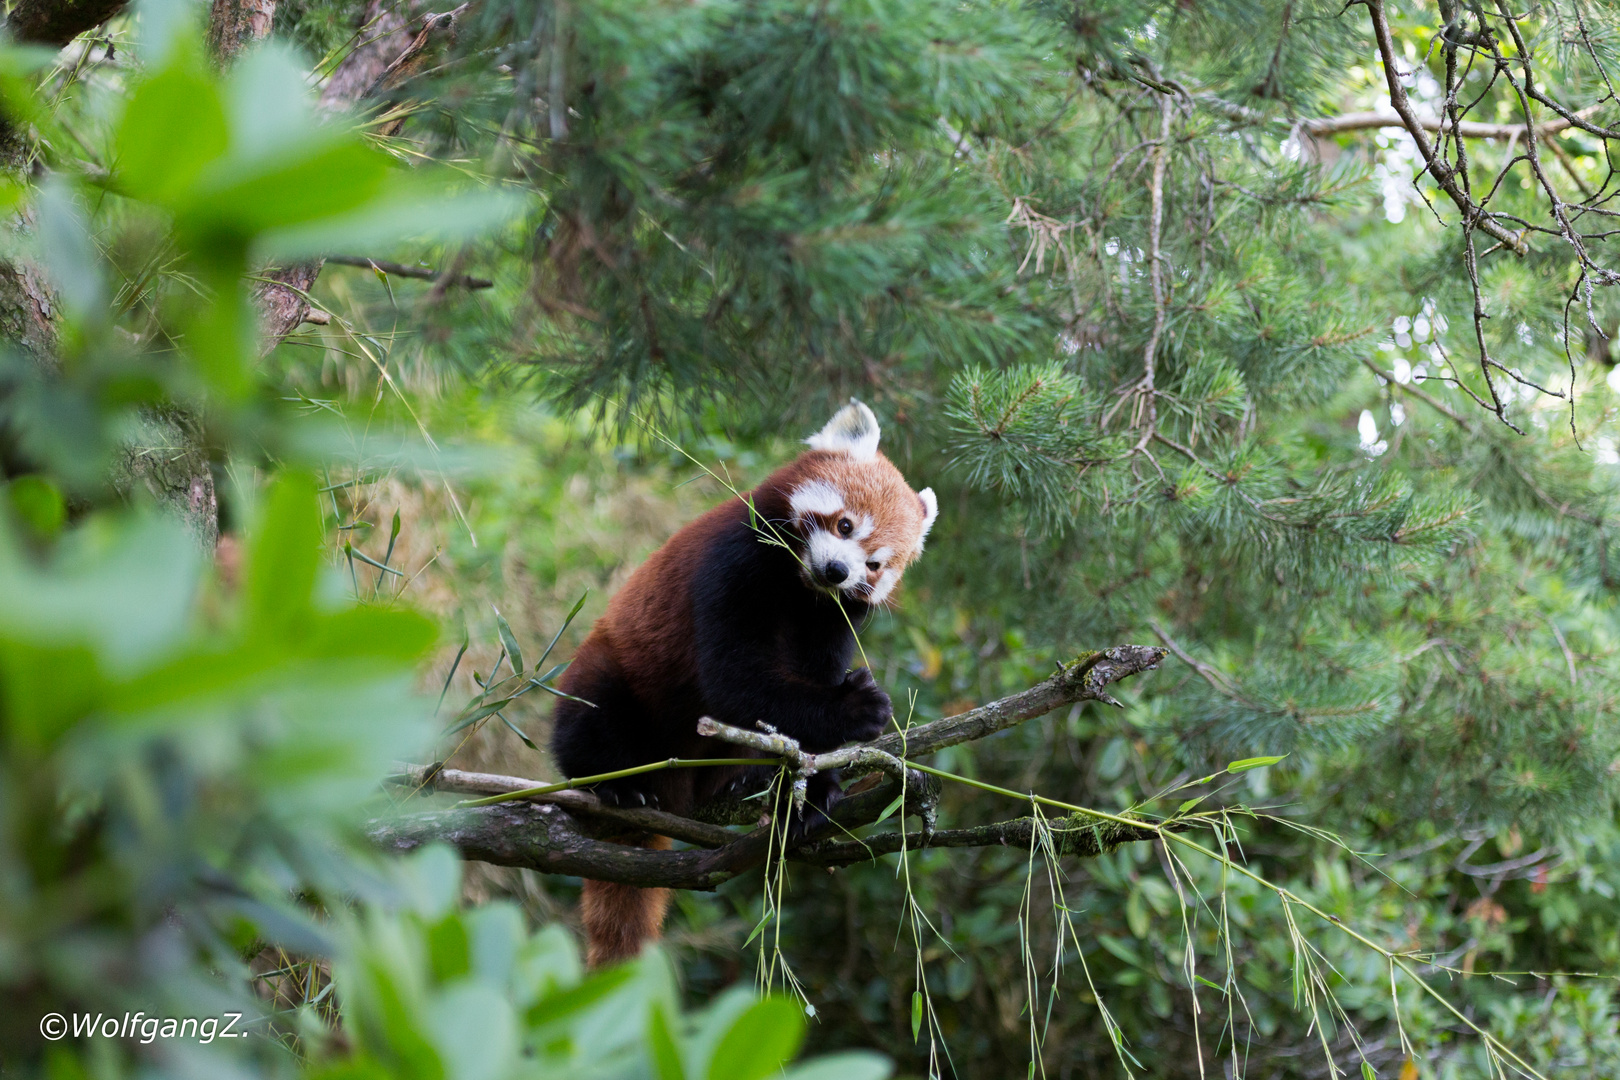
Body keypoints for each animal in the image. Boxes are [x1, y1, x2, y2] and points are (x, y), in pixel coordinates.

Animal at [554, 401, 939, 965]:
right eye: (845, 524)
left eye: (874, 564)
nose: (836, 571)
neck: (800, 587)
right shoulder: (731, 562)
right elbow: (734, 681)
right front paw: (857, 708)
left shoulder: (830, 618)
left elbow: (799, 712)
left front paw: (812, 788)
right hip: (612, 669)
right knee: (590, 709)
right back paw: (618, 783)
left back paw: (745, 778)